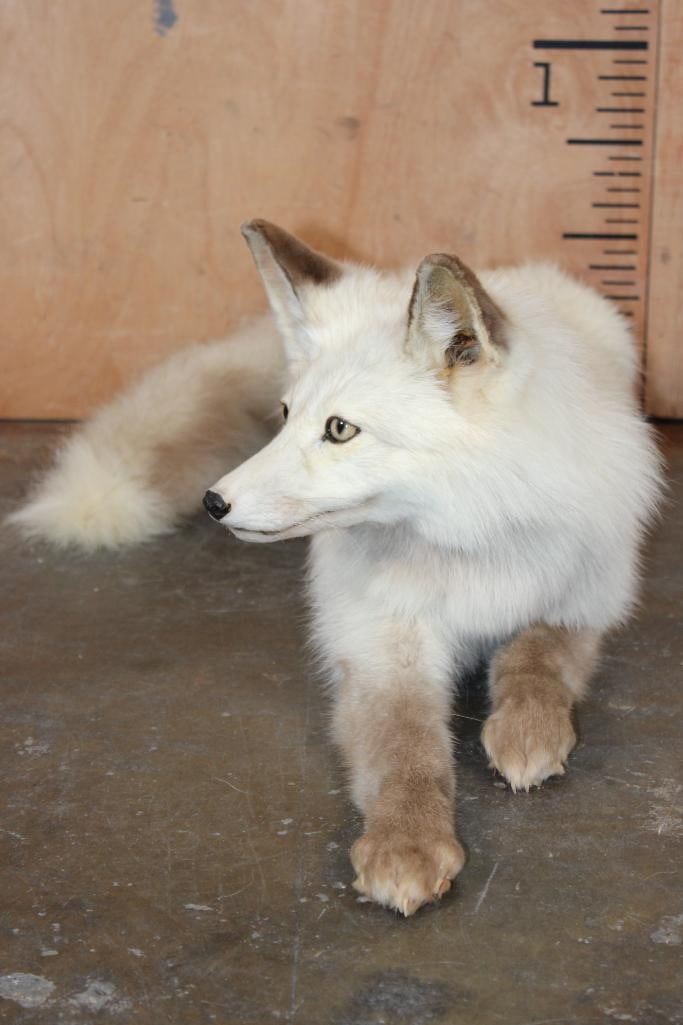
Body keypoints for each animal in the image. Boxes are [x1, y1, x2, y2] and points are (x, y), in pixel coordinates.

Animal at [11, 220, 662, 916]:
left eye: (341, 429)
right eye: (285, 415)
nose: (215, 502)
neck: (465, 542)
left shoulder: (590, 590)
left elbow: (539, 656)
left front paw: (528, 726)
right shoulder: (378, 638)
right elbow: (405, 746)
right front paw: (407, 840)